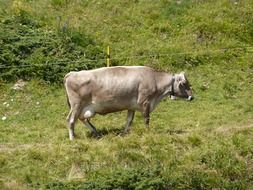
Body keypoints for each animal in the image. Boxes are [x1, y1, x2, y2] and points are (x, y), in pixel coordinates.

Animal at [64, 66, 193, 140]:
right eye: (184, 83)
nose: (192, 97)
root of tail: (72, 73)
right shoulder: (145, 102)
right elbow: (146, 119)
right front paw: (147, 132)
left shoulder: (132, 106)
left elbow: (129, 120)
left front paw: (124, 133)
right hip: (77, 105)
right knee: (71, 120)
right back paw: (72, 138)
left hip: (85, 108)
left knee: (83, 119)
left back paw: (96, 132)